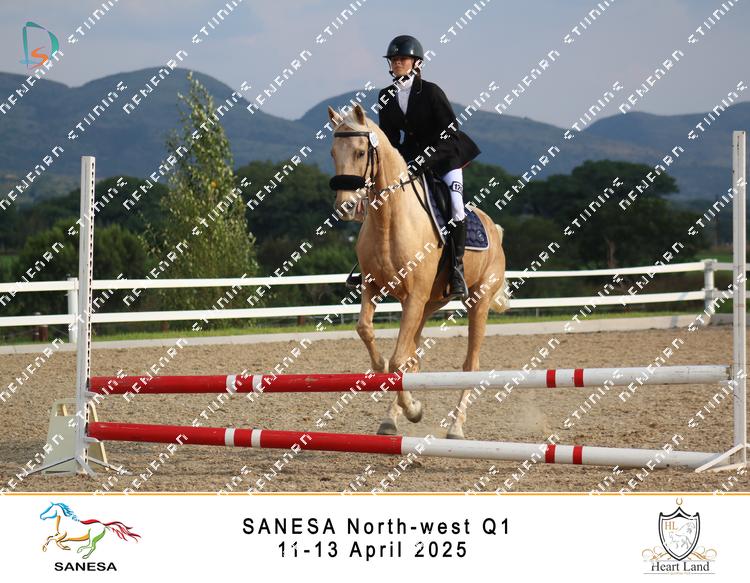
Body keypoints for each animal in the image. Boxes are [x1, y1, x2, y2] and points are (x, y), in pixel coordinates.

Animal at [328, 103, 509, 439]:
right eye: (333, 152)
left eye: (360, 152)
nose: (346, 207)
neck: (389, 219)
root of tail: (494, 227)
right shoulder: (374, 287)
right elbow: (369, 333)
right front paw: (389, 382)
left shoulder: (413, 296)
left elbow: (398, 360)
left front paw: (413, 410)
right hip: (429, 304)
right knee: (414, 358)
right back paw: (391, 419)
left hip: (477, 301)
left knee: (470, 364)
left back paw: (455, 427)